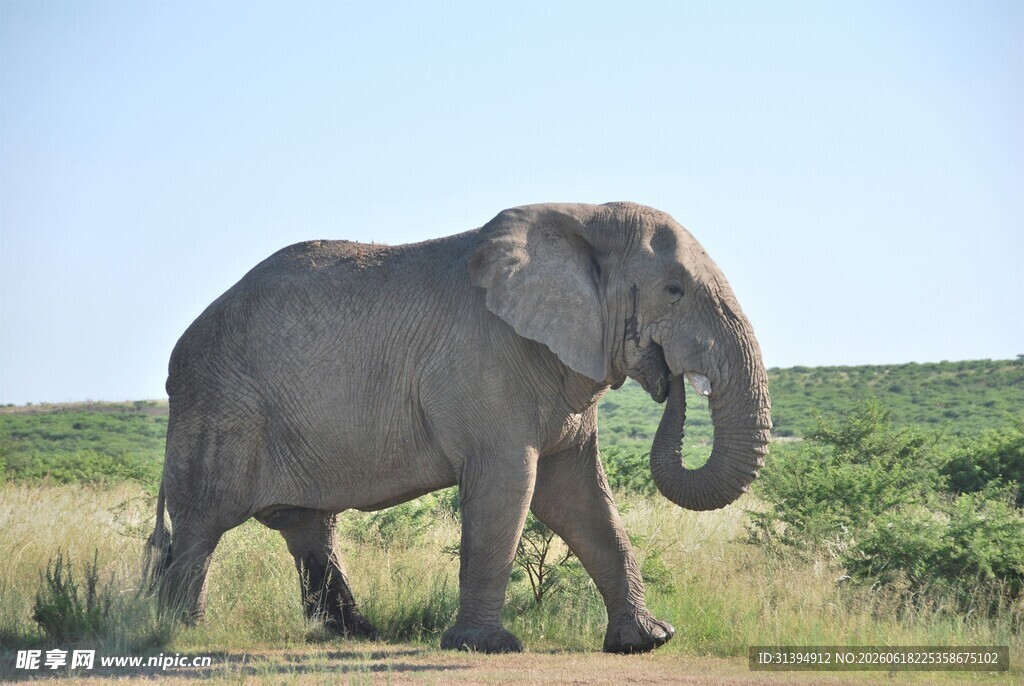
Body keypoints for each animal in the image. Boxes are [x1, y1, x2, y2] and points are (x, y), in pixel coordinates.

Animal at [147, 201, 771, 654]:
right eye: (674, 290)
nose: (672, 378)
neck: (583, 217)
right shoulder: (488, 365)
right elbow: (509, 488)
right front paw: (486, 647)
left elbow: (582, 500)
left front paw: (647, 642)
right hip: (219, 404)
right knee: (203, 524)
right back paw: (179, 632)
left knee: (308, 528)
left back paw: (356, 635)